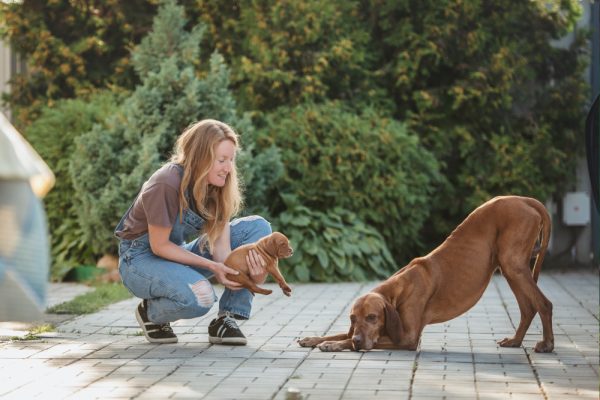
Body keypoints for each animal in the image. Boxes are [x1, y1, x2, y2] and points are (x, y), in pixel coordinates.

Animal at [298, 197, 556, 354]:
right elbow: (338, 332)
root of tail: (524, 199)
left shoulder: (408, 338)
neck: (397, 291)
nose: (358, 341)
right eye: (353, 318)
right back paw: (515, 341)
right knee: (528, 308)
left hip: (513, 264)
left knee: (544, 304)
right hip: (509, 267)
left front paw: (333, 344)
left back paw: (547, 344)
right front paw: (314, 338)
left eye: (372, 317)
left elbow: (355, 339)